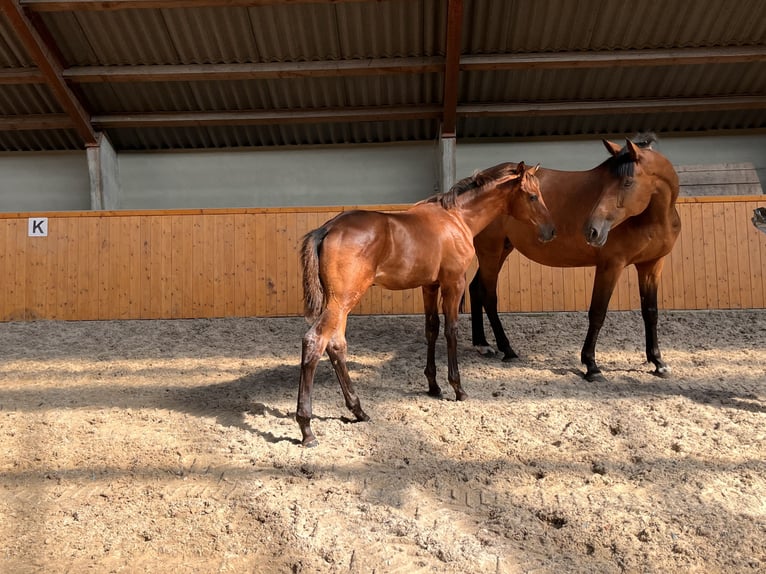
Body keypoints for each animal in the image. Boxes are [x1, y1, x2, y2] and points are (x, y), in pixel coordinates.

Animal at [296, 162, 556, 450]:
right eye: (532, 196)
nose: (550, 231)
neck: (457, 218)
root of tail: (328, 228)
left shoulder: (430, 286)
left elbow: (431, 329)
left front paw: (433, 386)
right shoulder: (453, 283)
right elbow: (451, 331)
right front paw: (457, 388)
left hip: (341, 303)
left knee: (336, 345)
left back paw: (358, 410)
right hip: (343, 300)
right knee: (315, 341)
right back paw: (307, 428)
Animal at [472, 136, 680, 382]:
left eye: (627, 183)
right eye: (605, 183)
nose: (592, 230)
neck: (652, 218)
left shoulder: (652, 265)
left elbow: (650, 312)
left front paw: (658, 362)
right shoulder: (611, 265)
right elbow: (598, 313)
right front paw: (591, 365)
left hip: (501, 250)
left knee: (476, 288)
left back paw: (482, 344)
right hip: (491, 252)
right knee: (488, 295)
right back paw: (507, 349)